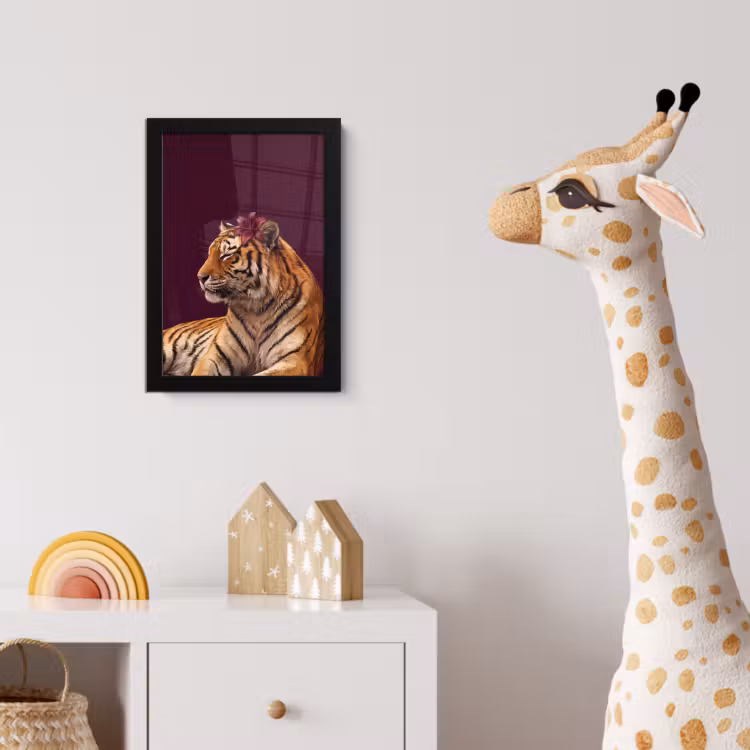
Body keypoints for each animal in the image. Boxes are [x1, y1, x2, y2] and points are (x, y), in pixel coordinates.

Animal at [162, 213, 324, 376]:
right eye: (209, 254)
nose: (200, 277)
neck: (257, 309)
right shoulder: (217, 355)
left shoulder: (296, 361)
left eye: (227, 255)